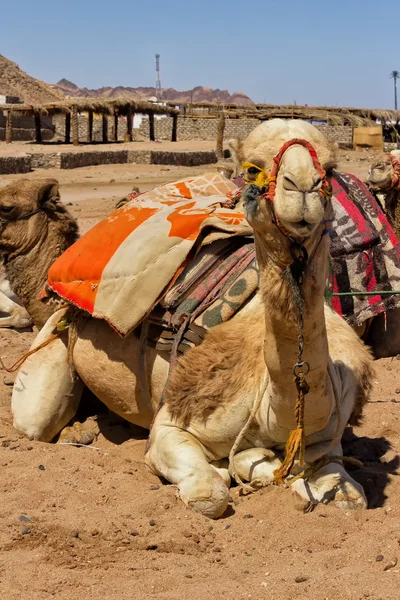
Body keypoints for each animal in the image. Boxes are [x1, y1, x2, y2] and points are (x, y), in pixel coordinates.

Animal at [12, 119, 376, 516]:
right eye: (252, 168)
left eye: (330, 169)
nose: (303, 187)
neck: (275, 410)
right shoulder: (172, 424)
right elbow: (209, 494)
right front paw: (235, 470)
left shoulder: (330, 434)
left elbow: (349, 495)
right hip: (57, 339)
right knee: (36, 421)